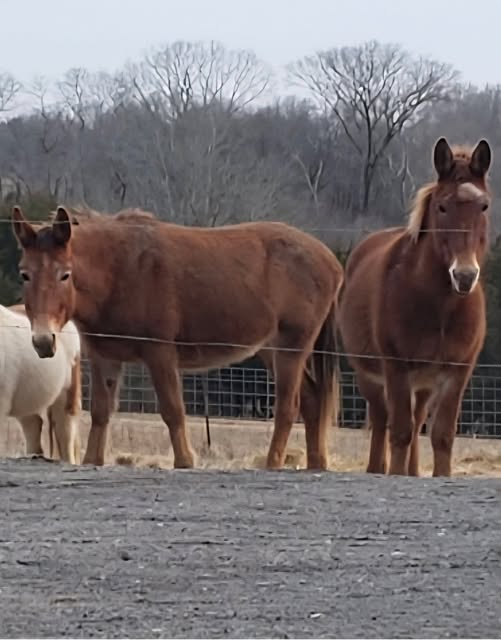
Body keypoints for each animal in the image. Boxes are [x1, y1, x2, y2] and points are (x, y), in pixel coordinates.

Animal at [11, 206, 343, 470]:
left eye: (64, 274)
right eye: (24, 274)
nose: (43, 341)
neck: (121, 270)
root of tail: (330, 260)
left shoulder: (160, 353)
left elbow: (173, 410)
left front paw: (185, 461)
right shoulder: (105, 356)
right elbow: (101, 412)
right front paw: (94, 460)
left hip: (292, 345)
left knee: (288, 406)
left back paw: (273, 463)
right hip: (272, 349)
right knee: (312, 401)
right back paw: (316, 464)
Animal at [337, 137, 492, 477]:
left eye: (484, 205)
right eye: (442, 206)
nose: (464, 276)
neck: (440, 308)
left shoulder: (457, 372)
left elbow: (442, 435)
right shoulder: (396, 367)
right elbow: (400, 432)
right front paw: (394, 473)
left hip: (423, 384)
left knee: (418, 416)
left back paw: (413, 470)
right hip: (370, 375)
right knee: (381, 419)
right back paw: (377, 468)